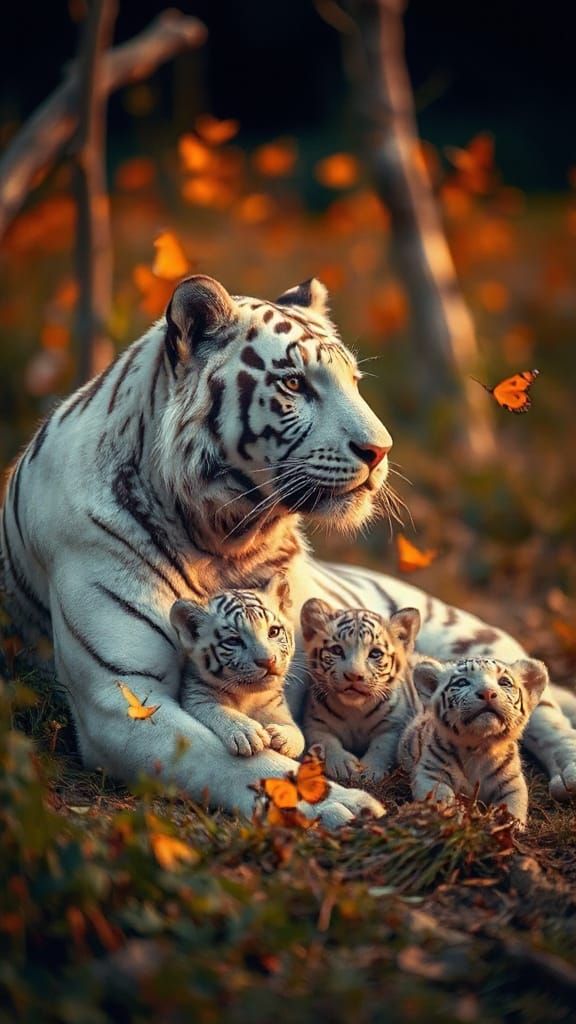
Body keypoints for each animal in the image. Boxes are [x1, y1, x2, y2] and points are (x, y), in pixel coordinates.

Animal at [170, 577, 305, 758]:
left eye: (274, 632)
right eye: (233, 641)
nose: (268, 661)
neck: (248, 695)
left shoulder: (275, 705)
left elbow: (297, 731)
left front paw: (284, 737)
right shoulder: (196, 696)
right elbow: (217, 709)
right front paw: (246, 732)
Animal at [301, 599, 421, 782]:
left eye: (375, 653)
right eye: (337, 650)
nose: (354, 675)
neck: (355, 710)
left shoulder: (393, 726)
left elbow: (382, 747)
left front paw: (370, 771)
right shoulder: (314, 722)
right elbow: (326, 741)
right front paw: (341, 764)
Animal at [399, 657, 549, 827]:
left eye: (504, 682)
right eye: (462, 683)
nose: (487, 693)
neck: (479, 745)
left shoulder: (512, 782)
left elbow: (513, 805)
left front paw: (506, 825)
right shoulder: (430, 773)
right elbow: (441, 798)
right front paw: (454, 818)